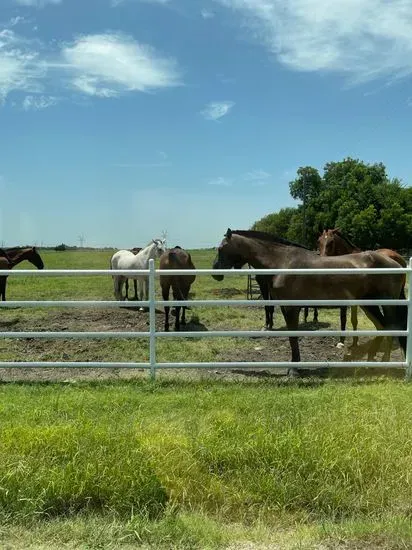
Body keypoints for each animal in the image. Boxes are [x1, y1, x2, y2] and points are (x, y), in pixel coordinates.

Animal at [212, 230, 406, 380]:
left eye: (221, 248)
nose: (215, 273)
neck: (282, 262)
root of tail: (395, 262)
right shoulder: (285, 307)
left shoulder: (291, 308)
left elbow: (293, 337)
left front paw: (294, 370)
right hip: (369, 304)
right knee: (382, 327)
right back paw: (371, 363)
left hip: (386, 304)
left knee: (391, 327)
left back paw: (384, 363)